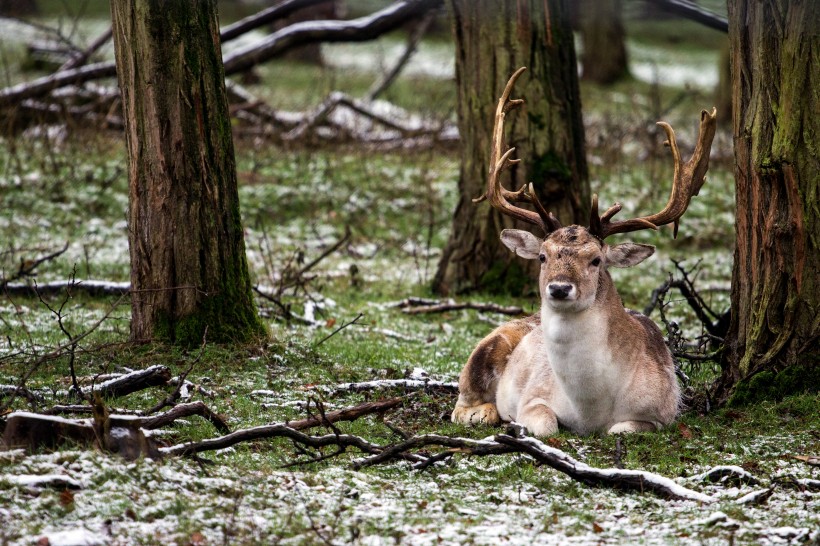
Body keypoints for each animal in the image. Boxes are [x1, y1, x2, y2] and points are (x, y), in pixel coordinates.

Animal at [452, 67, 716, 434]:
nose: (560, 288)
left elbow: (621, 429)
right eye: (542, 256)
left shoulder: (662, 412)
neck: (590, 407)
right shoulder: (533, 396)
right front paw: (515, 423)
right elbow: (545, 424)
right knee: (459, 403)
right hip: (488, 345)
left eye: (595, 260)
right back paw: (486, 412)